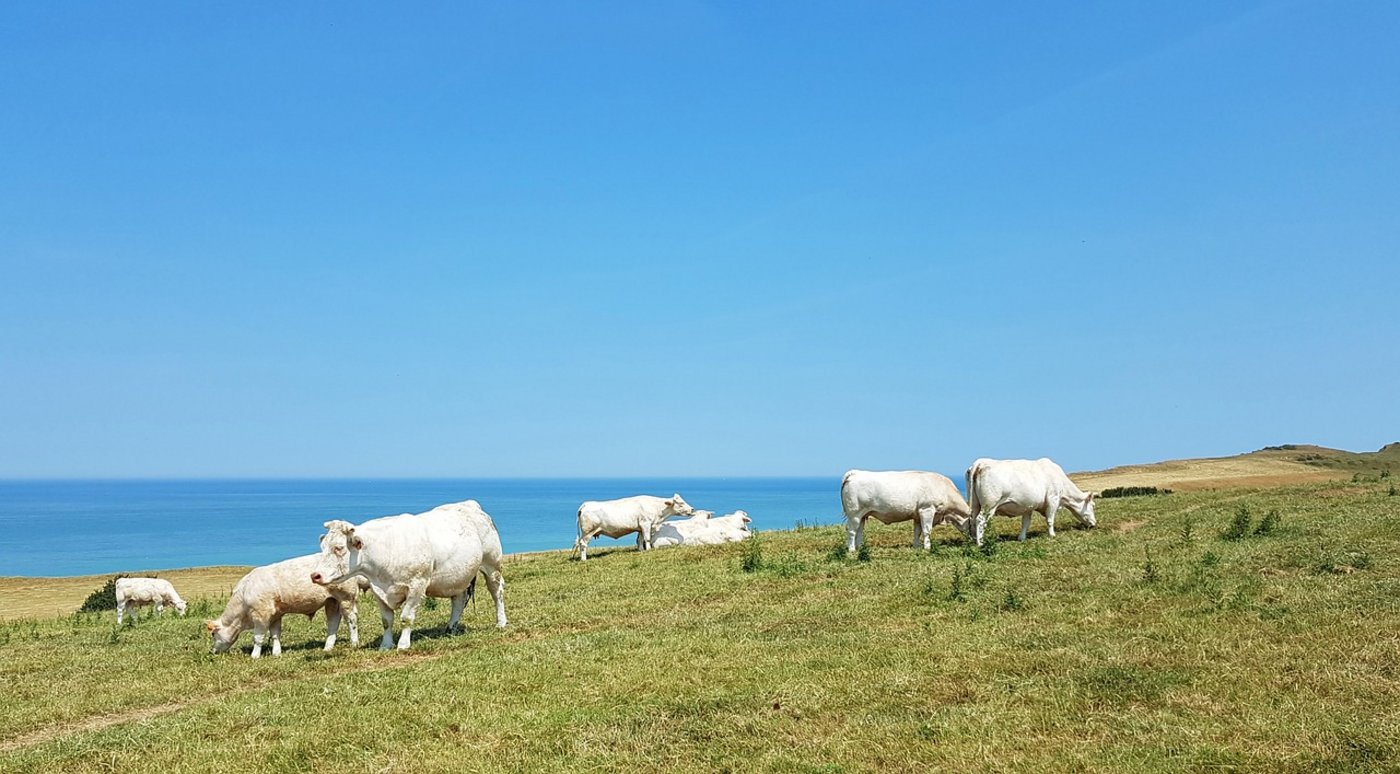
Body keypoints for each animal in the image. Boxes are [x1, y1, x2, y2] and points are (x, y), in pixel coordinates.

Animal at [206, 554, 363, 658]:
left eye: (213, 634)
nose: (212, 651)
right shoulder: (276, 615)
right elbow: (275, 634)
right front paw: (276, 654)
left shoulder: (261, 615)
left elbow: (258, 637)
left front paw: (254, 656)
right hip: (332, 601)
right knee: (333, 622)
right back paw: (327, 648)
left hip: (346, 597)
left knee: (351, 619)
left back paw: (354, 643)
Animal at [311, 500, 507, 651]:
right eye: (322, 547)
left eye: (339, 548)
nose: (315, 575)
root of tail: (470, 505)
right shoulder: (377, 589)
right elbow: (386, 620)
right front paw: (385, 645)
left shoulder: (417, 585)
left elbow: (406, 618)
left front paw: (403, 645)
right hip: (458, 575)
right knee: (458, 599)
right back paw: (451, 627)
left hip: (492, 564)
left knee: (496, 592)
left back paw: (501, 622)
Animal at [840, 470, 972, 555]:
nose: (973, 541)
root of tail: (855, 473)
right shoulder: (927, 509)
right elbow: (927, 530)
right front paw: (927, 548)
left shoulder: (917, 515)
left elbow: (917, 532)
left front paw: (916, 546)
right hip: (854, 513)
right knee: (852, 530)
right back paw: (852, 550)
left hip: (862, 515)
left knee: (859, 531)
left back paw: (860, 547)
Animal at [966, 458, 1098, 546]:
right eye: (1092, 505)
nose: (1094, 523)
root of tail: (980, 462)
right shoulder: (1053, 500)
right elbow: (1050, 520)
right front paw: (1052, 535)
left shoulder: (1027, 505)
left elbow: (1026, 522)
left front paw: (1021, 538)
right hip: (989, 504)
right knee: (980, 520)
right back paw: (980, 543)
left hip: (976, 504)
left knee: (972, 519)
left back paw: (973, 539)